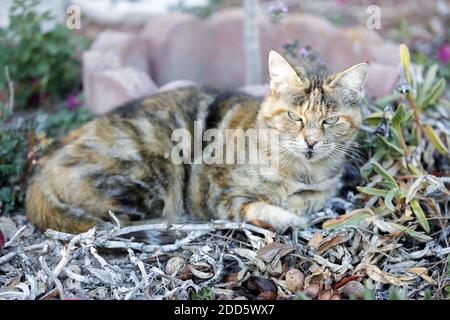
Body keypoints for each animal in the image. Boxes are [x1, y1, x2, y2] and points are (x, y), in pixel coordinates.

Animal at [25, 50, 370, 235]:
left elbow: (313, 199)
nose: (311, 142)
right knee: (122, 220)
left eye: (330, 121)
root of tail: (40, 170)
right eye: (293, 116)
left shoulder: (323, 188)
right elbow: (262, 208)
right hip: (151, 172)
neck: (301, 173)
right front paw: (291, 216)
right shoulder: (214, 194)